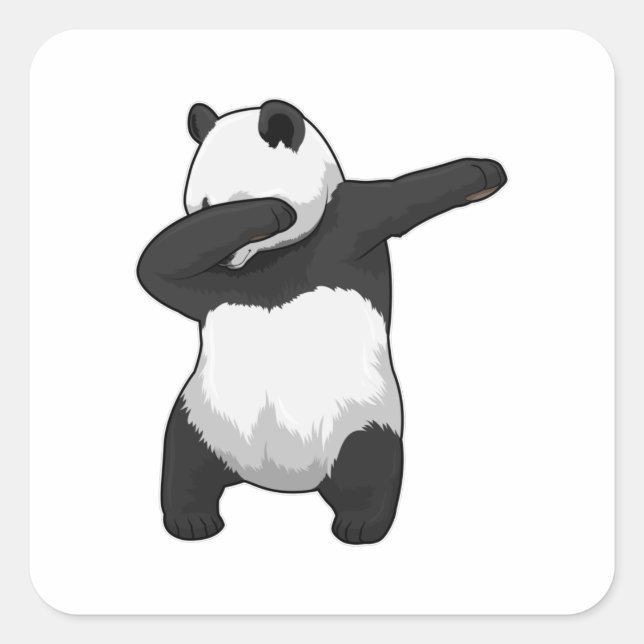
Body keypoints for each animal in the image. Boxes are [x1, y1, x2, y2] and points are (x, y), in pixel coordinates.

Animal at [137, 99, 507, 544]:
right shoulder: (211, 289)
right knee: (184, 462)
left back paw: (360, 524)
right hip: (203, 414)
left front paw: (485, 174)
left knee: (371, 465)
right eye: (203, 204)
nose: (225, 260)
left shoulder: (347, 229)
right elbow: (159, 262)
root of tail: (279, 479)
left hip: (361, 421)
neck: (274, 260)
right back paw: (192, 521)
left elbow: (401, 194)